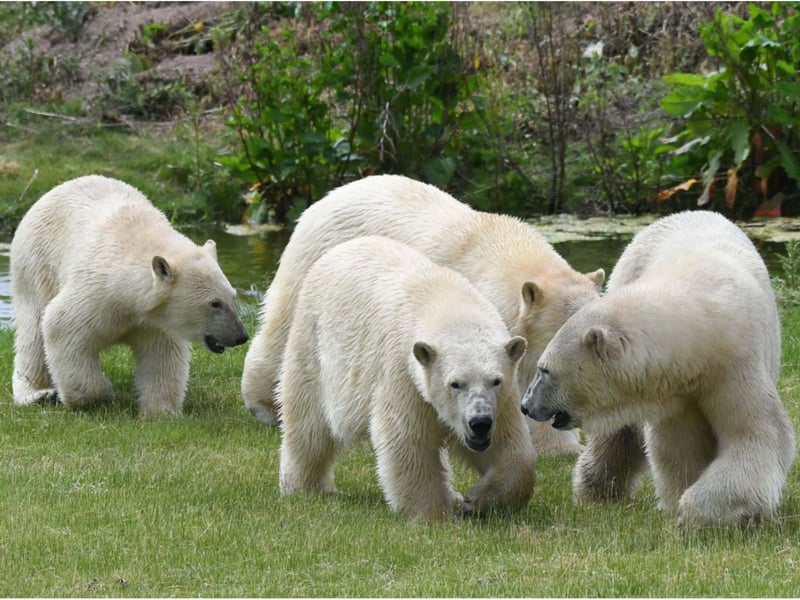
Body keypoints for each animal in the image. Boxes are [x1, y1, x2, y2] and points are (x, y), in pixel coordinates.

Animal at [11, 175, 249, 416]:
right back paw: (37, 393)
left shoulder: (156, 321)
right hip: (36, 263)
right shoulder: (96, 294)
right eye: (215, 303)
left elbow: (162, 356)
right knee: (33, 330)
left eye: (233, 296)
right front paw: (101, 393)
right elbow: (62, 327)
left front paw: (161, 411)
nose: (241, 336)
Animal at [277, 235, 536, 521]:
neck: (445, 302)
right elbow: (408, 442)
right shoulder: (403, 374)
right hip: (313, 341)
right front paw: (434, 516)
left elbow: (510, 447)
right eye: (455, 384)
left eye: (495, 381)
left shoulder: (502, 400)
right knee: (308, 421)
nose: (479, 422)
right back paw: (305, 486)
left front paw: (477, 500)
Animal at [521, 210, 797, 527]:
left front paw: (697, 512)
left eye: (545, 370)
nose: (526, 405)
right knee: (620, 433)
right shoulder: (675, 389)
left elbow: (756, 433)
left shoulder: (734, 362)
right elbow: (680, 446)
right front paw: (682, 505)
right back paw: (596, 491)